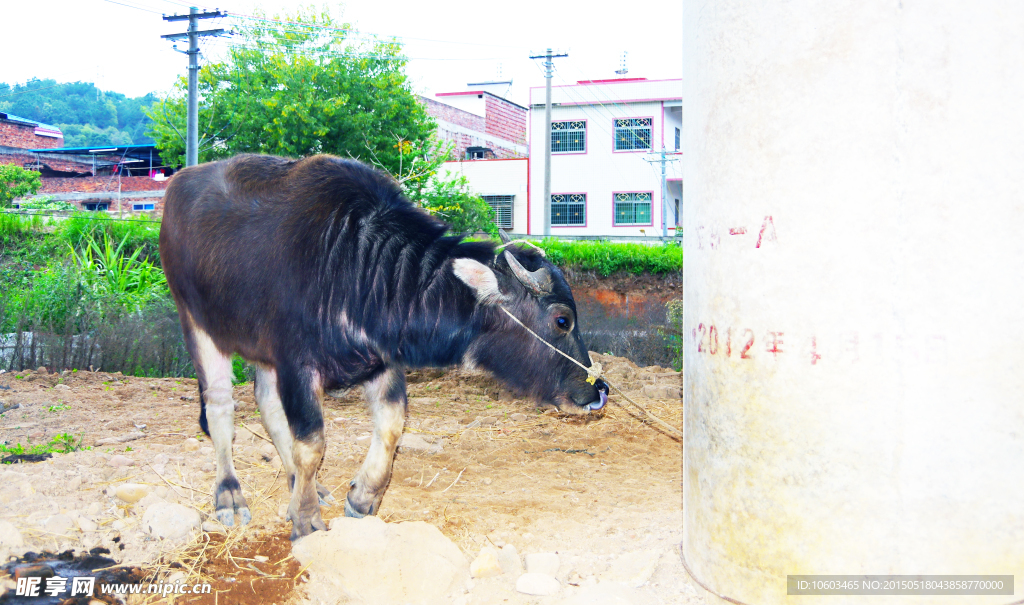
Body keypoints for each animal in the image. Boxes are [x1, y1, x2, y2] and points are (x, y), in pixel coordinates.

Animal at [159, 152, 606, 540]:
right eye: (562, 320)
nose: (598, 390)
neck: (357, 266)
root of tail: (177, 186)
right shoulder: (296, 364)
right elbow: (312, 443)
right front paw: (305, 519)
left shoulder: (382, 359)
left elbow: (391, 425)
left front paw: (361, 497)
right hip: (197, 321)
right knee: (220, 407)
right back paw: (230, 496)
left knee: (267, 404)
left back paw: (301, 484)